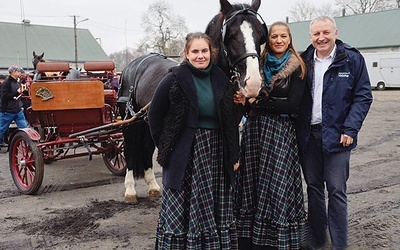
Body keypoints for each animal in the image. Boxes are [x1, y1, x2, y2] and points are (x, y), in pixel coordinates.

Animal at [119, 0, 268, 204]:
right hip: (130, 121)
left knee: (147, 148)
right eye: (230, 35)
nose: (253, 83)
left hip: (147, 120)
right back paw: (129, 189)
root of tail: (133, 65)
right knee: (130, 149)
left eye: (261, 36)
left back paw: (153, 185)